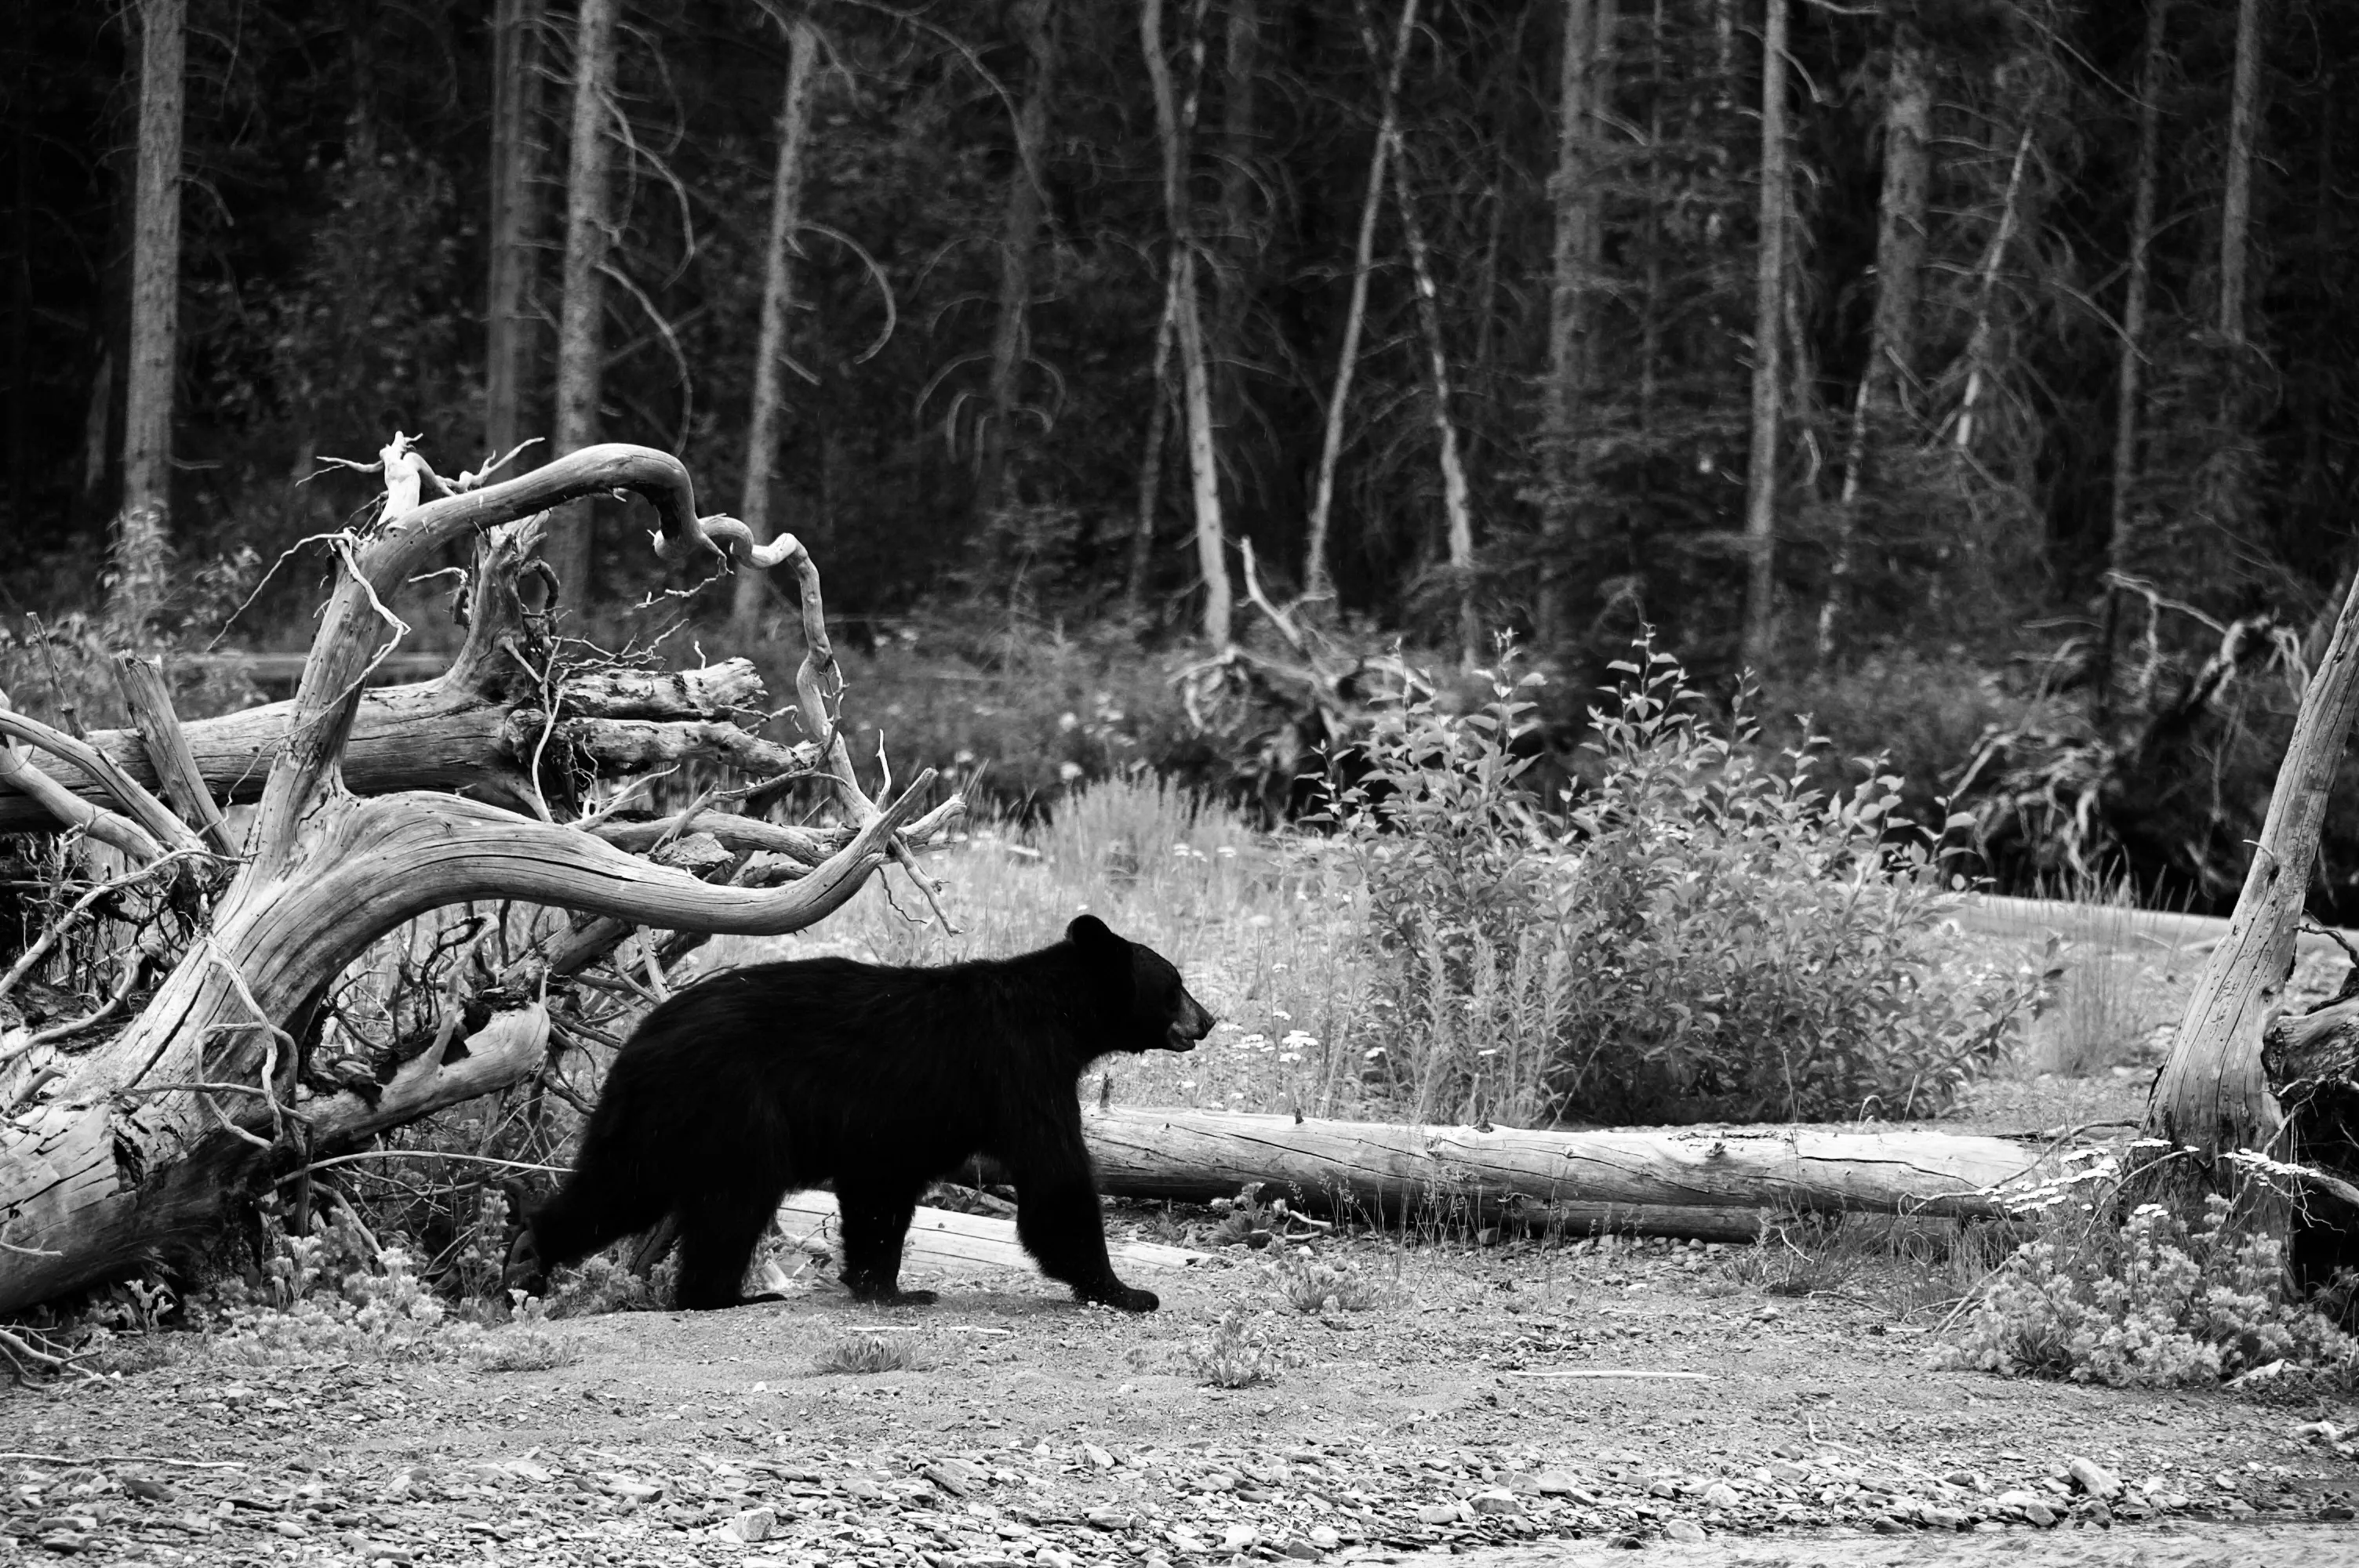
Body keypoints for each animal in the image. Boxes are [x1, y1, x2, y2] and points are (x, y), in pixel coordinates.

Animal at [521, 915, 1216, 1312]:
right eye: (1175, 984)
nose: (1208, 1020)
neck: (1060, 1013)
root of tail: (641, 1038)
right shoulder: (1022, 1070)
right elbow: (1056, 1181)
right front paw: (1127, 1291)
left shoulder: (894, 1123)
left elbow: (881, 1192)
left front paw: (890, 1288)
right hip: (731, 1104)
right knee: (734, 1199)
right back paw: (724, 1296)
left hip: (656, 1116)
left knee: (616, 1187)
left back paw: (526, 1258)